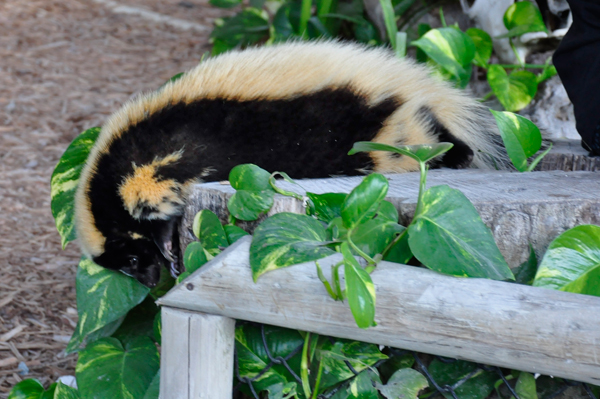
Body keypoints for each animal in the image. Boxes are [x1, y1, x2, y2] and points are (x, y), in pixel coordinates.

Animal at [74, 40, 506, 288]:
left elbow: (163, 205)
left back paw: (458, 154)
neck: (106, 178)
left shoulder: (158, 163)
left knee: (417, 141)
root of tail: (416, 86)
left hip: (371, 135)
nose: (148, 282)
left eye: (132, 259)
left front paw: (170, 252)